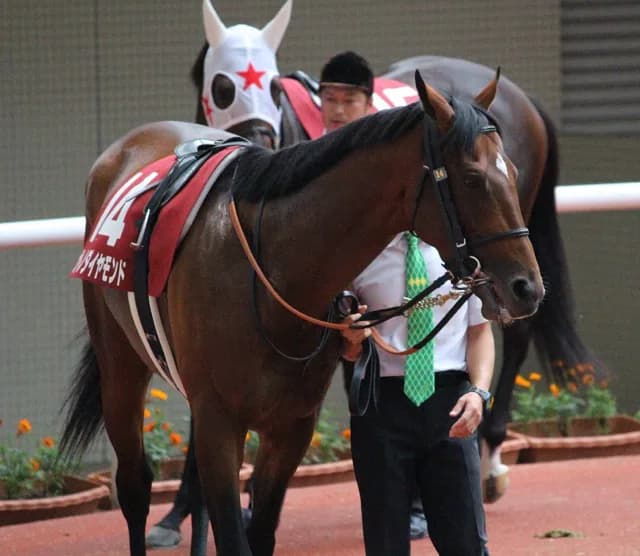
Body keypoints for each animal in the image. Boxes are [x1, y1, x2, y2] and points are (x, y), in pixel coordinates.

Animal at [60, 70, 544, 556]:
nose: (528, 288)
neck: (269, 271)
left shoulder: (291, 427)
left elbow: (260, 532)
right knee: (135, 485)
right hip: (120, 365)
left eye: (514, 171)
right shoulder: (220, 422)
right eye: (472, 179)